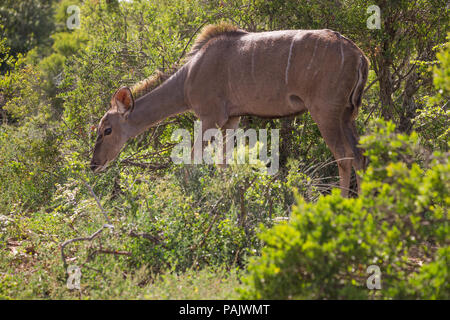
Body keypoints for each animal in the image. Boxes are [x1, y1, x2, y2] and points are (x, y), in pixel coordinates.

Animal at [90, 23, 370, 196]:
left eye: (107, 130)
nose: (94, 165)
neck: (189, 76)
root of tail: (359, 55)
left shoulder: (210, 117)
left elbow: (192, 160)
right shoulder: (232, 119)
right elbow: (223, 162)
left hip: (325, 113)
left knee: (343, 156)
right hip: (347, 116)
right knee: (360, 155)